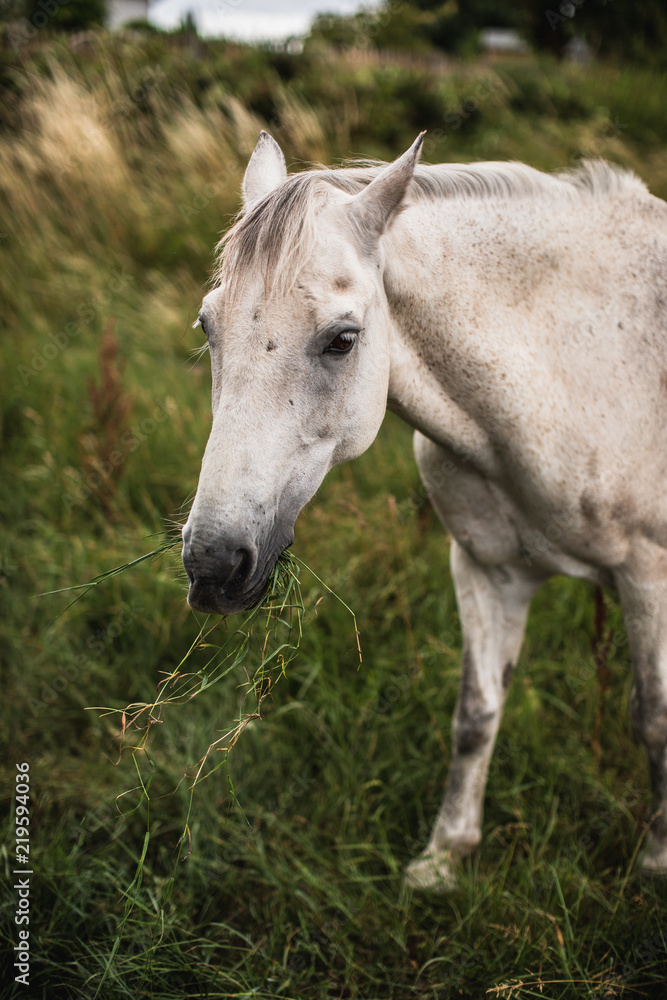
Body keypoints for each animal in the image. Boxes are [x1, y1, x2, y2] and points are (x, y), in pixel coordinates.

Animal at [182, 130, 667, 890]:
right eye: (208, 327)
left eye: (342, 339)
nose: (212, 562)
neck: (573, 366)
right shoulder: (487, 570)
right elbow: (476, 713)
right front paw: (444, 857)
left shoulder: (648, 576)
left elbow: (653, 720)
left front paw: (654, 860)